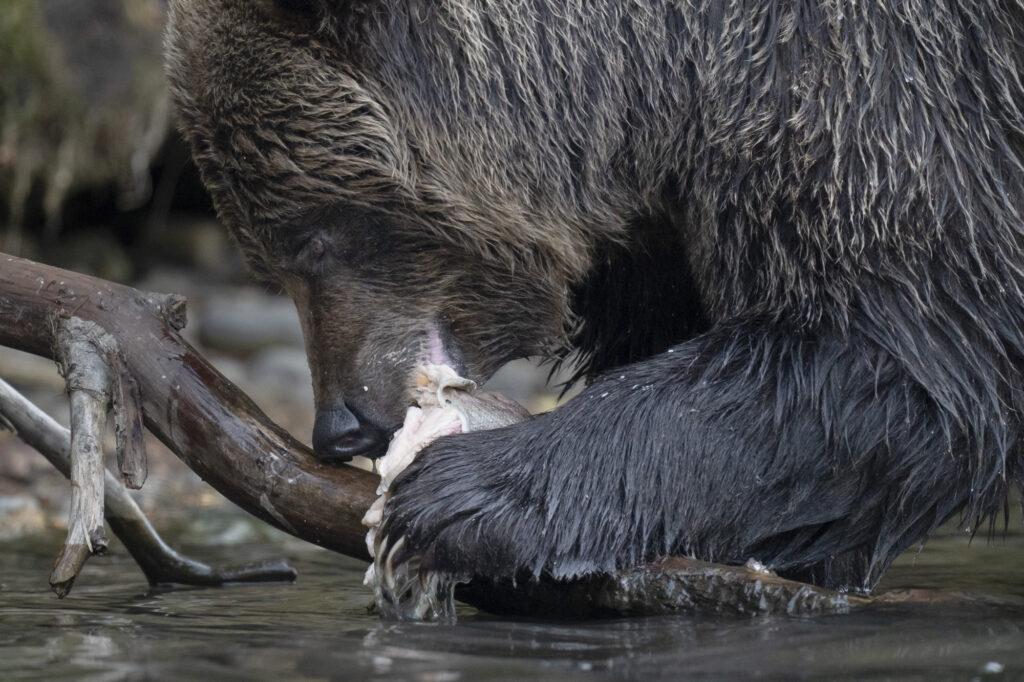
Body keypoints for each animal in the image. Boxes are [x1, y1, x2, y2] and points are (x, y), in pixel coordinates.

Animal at [165, 0, 1024, 595]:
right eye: (267, 259)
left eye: (313, 238)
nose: (339, 426)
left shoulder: (873, 87)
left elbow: (889, 351)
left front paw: (458, 494)